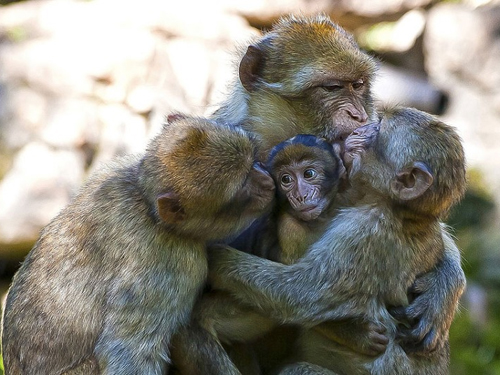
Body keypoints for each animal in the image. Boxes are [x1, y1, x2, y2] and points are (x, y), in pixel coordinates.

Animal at [0, 116, 274, 374]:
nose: (267, 183)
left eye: (253, 160)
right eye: (243, 186)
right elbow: (129, 351)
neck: (147, 202)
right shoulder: (171, 263)